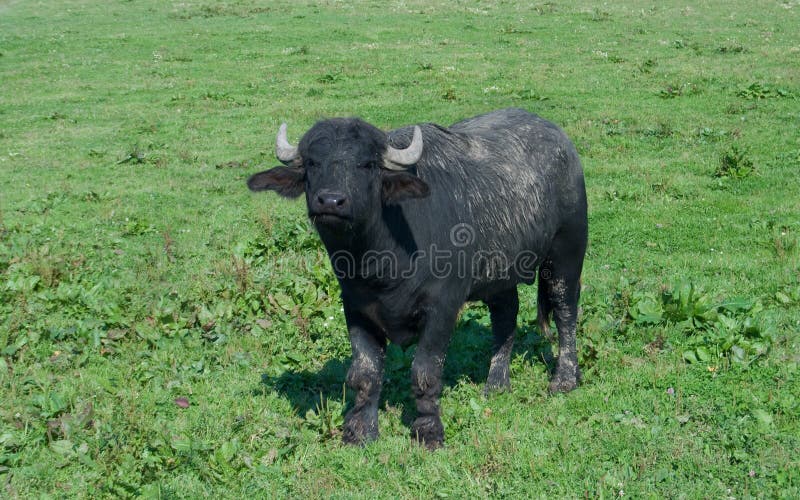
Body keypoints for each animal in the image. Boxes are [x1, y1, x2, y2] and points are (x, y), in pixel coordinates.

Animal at [248, 108, 588, 449]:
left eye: (367, 164)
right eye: (313, 163)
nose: (330, 201)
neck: (380, 264)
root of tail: (563, 144)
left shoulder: (442, 308)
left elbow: (425, 371)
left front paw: (428, 431)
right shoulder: (356, 309)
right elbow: (365, 372)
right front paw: (360, 432)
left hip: (566, 253)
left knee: (565, 312)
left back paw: (565, 379)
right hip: (499, 273)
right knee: (505, 316)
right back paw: (496, 384)